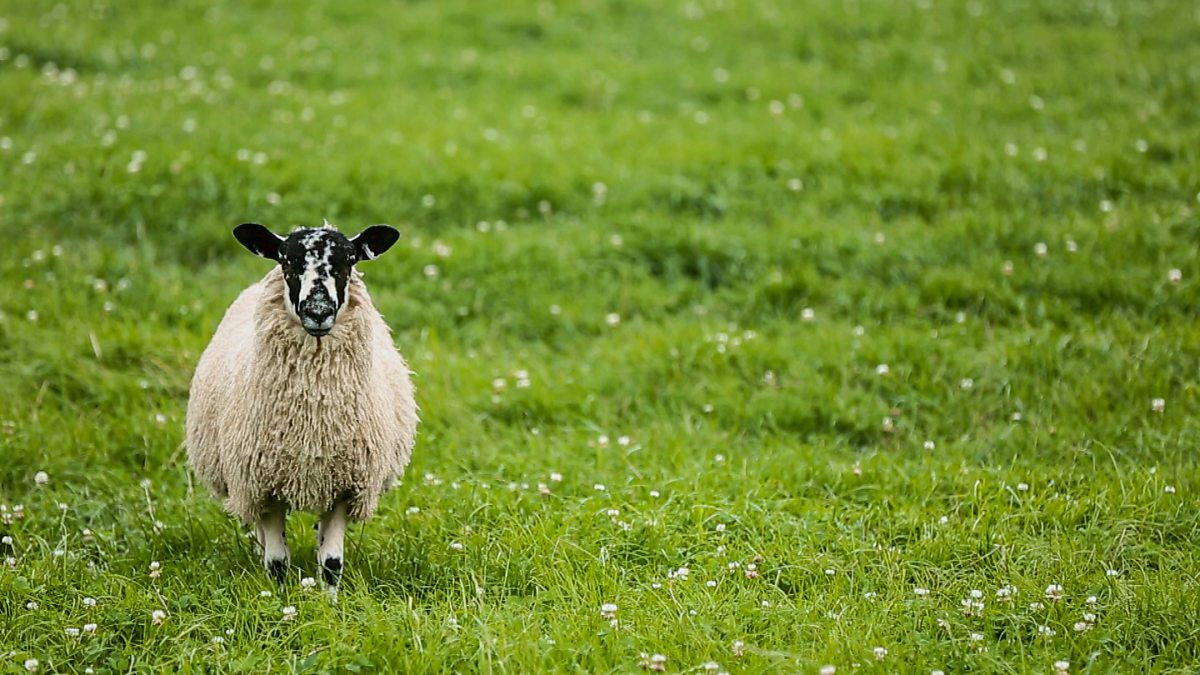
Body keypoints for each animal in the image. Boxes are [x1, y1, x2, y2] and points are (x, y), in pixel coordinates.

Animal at [186, 220, 418, 590]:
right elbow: (277, 562)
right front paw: (280, 598)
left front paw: (329, 600)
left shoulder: (344, 485)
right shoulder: (263, 484)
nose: (318, 312)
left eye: (348, 261)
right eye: (287, 262)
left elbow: (332, 562)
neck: (313, 414)